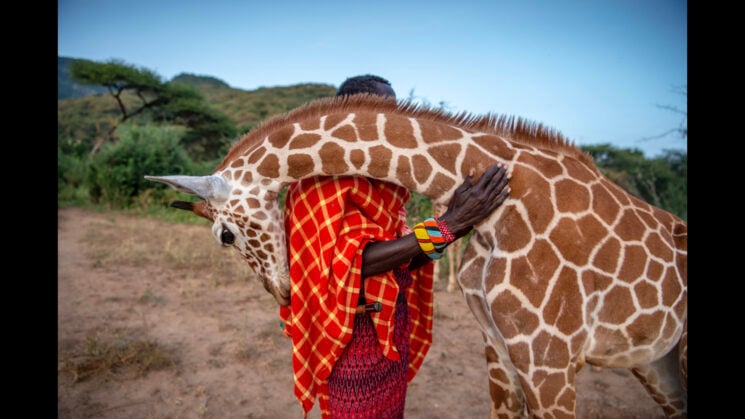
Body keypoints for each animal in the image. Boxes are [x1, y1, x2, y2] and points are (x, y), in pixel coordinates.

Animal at [145, 93, 684, 418]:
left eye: (224, 236)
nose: (282, 291)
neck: (508, 201)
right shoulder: (500, 347)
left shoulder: (551, 357)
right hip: (658, 362)